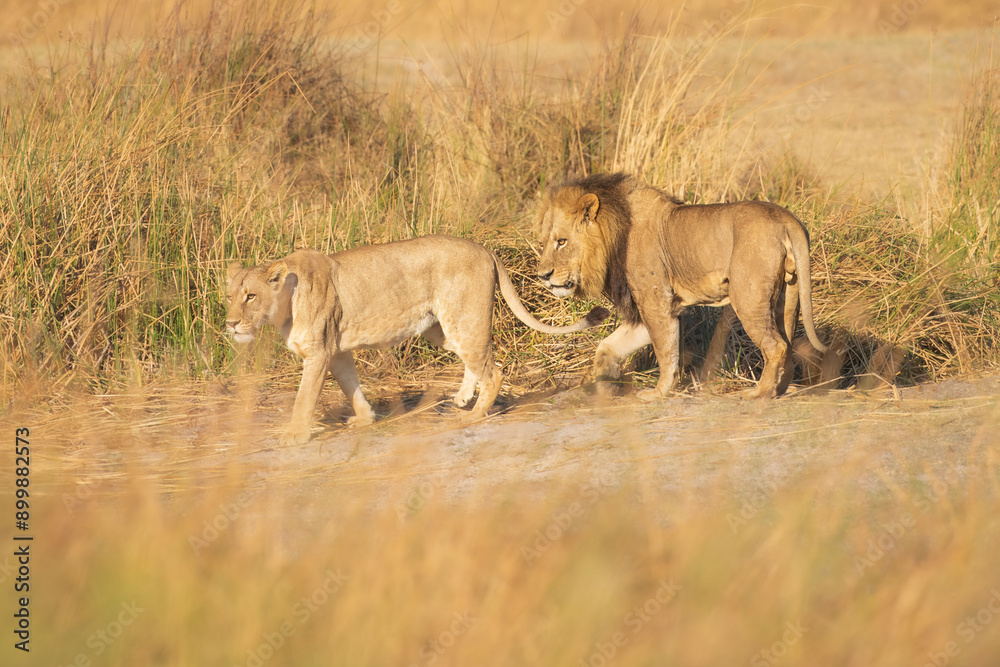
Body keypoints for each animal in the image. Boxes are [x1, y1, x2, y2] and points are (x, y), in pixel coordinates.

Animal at [225, 235, 609, 445]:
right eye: (229, 296)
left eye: (250, 296)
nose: (229, 324)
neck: (284, 306)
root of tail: (484, 248)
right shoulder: (336, 351)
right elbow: (351, 385)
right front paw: (365, 419)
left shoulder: (319, 352)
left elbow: (304, 398)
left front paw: (295, 434)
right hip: (440, 328)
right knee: (479, 359)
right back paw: (463, 397)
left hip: (462, 317)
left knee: (493, 369)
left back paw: (474, 414)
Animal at [535, 172, 826, 400]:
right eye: (546, 241)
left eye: (561, 241)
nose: (543, 275)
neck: (615, 232)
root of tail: (785, 217)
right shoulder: (656, 308)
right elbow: (608, 346)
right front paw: (607, 384)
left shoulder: (656, 302)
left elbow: (666, 352)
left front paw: (657, 393)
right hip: (788, 296)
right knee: (788, 343)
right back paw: (780, 389)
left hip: (748, 297)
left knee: (776, 346)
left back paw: (759, 393)